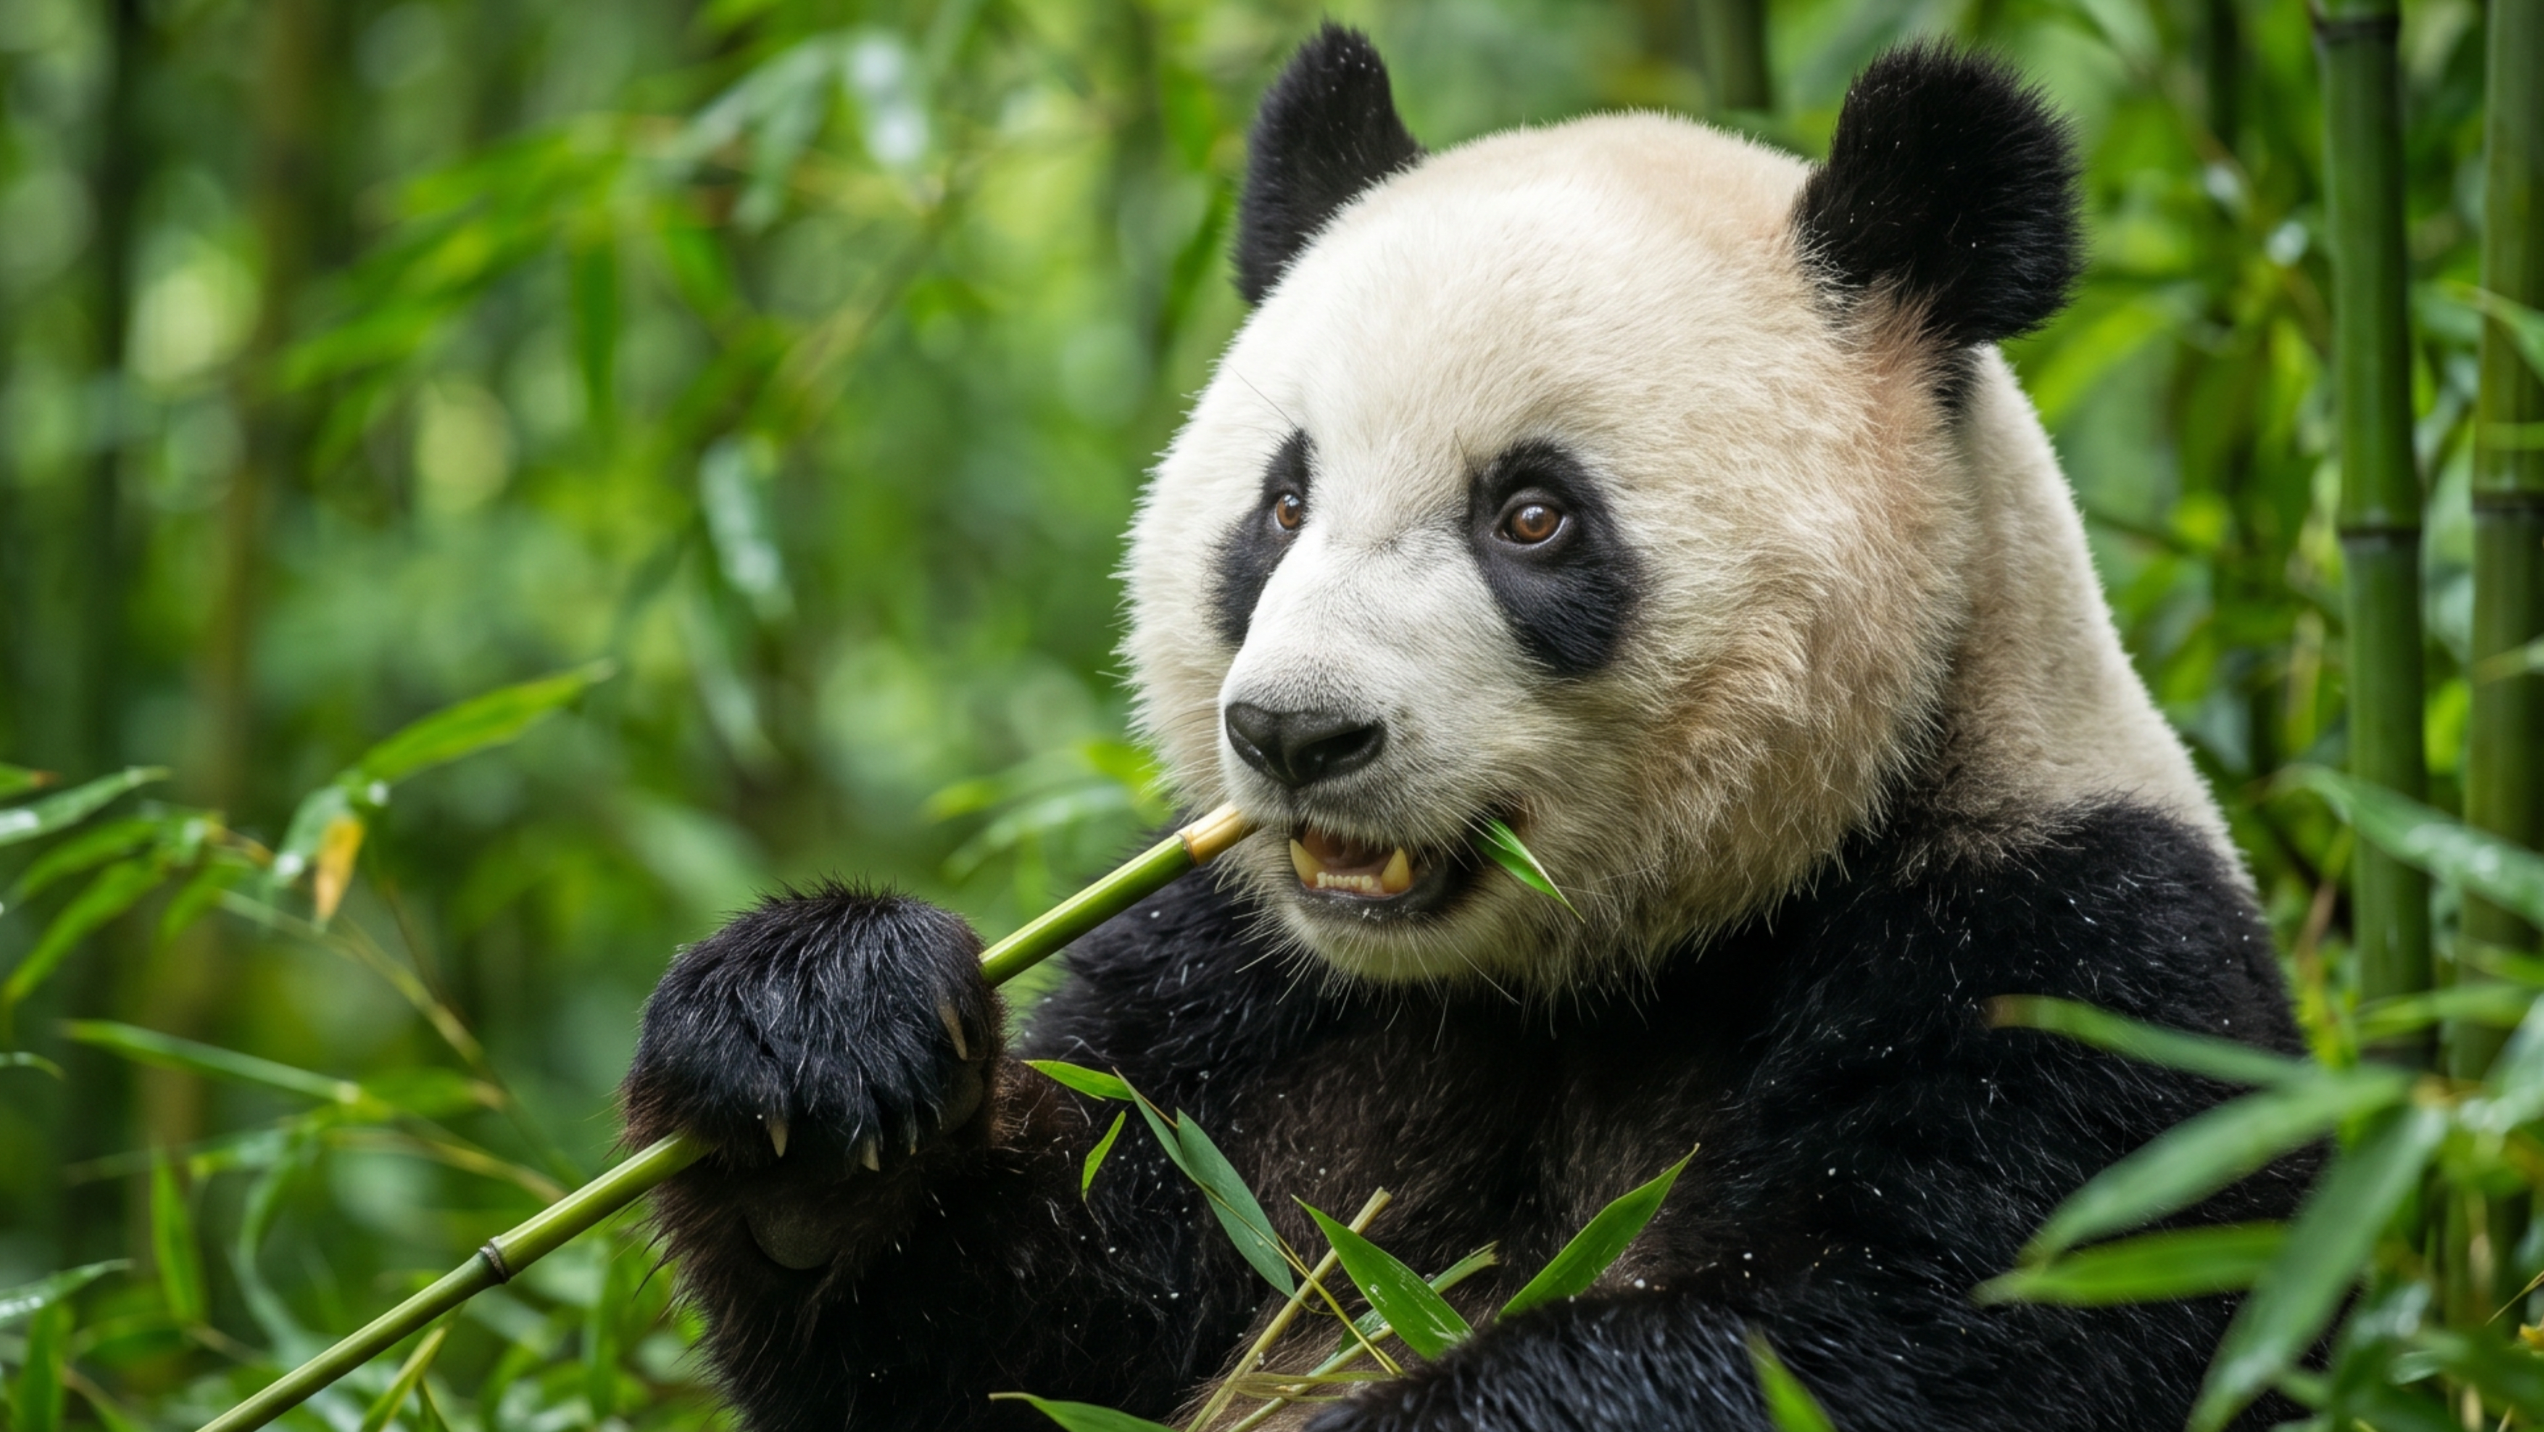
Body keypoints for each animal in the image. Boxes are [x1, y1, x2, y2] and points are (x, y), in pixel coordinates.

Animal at [622, 28, 2308, 1432]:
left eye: (1534, 515)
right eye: (1282, 503)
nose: (1295, 734)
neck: (1599, 978)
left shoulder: (2067, 983)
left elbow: (1880, 1338)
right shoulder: (1249, 1000)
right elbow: (1014, 1335)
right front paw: (812, 1054)